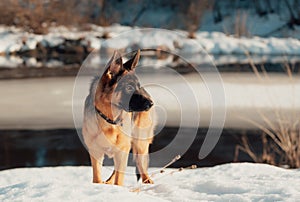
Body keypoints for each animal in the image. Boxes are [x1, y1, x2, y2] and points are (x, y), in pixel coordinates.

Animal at [83, 49, 156, 185]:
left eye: (138, 86)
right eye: (129, 87)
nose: (151, 103)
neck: (109, 120)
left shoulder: (122, 151)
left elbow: (119, 179)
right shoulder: (96, 152)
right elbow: (97, 178)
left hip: (140, 143)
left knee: (141, 164)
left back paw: (147, 180)